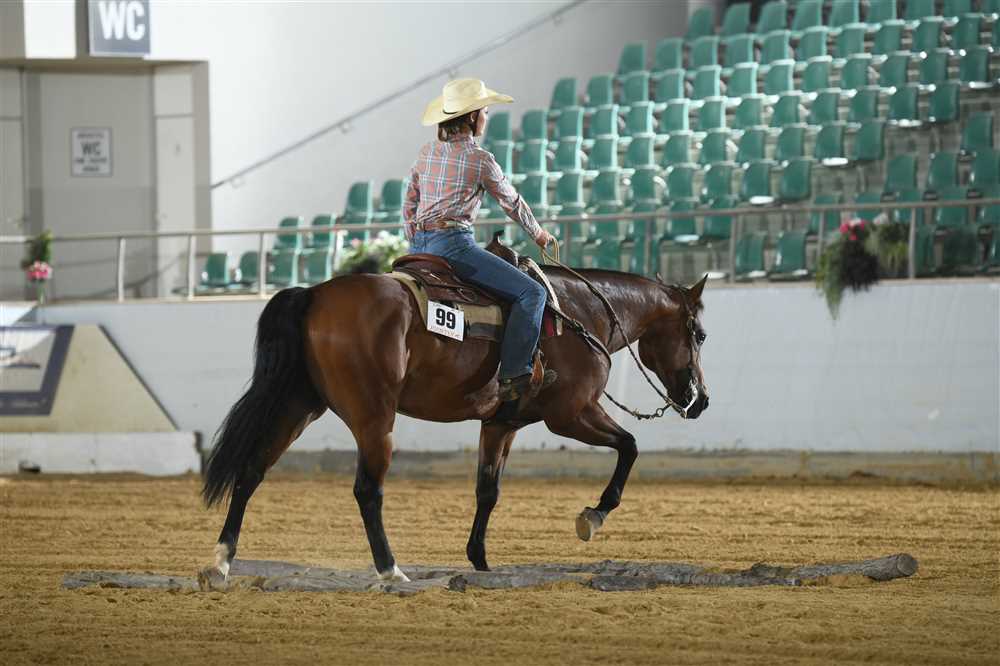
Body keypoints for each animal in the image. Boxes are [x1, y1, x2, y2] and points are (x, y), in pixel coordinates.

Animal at [198, 258, 709, 586]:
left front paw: (479, 561)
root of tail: (314, 294)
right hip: (374, 416)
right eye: (700, 334)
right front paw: (593, 516)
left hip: (298, 405)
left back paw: (222, 561)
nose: (699, 400)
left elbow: (488, 491)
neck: (577, 313)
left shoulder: (501, 425)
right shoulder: (571, 414)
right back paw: (390, 569)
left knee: (250, 471)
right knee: (367, 491)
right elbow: (630, 446)